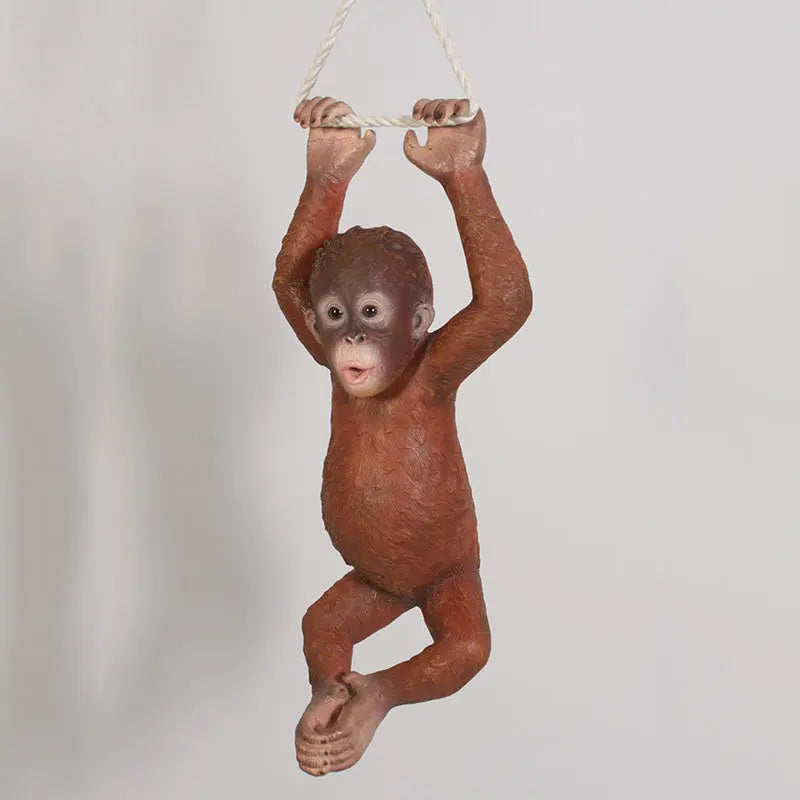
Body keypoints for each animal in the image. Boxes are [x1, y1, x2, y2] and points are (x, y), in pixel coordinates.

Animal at [273, 96, 532, 776]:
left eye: (370, 311)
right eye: (333, 312)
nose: (352, 338)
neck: (390, 381)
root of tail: (408, 596)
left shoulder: (441, 364)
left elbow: (507, 303)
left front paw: (456, 149)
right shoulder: (316, 347)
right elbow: (286, 282)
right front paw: (330, 150)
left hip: (452, 572)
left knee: (466, 649)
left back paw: (369, 703)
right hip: (376, 586)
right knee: (324, 624)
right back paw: (327, 704)